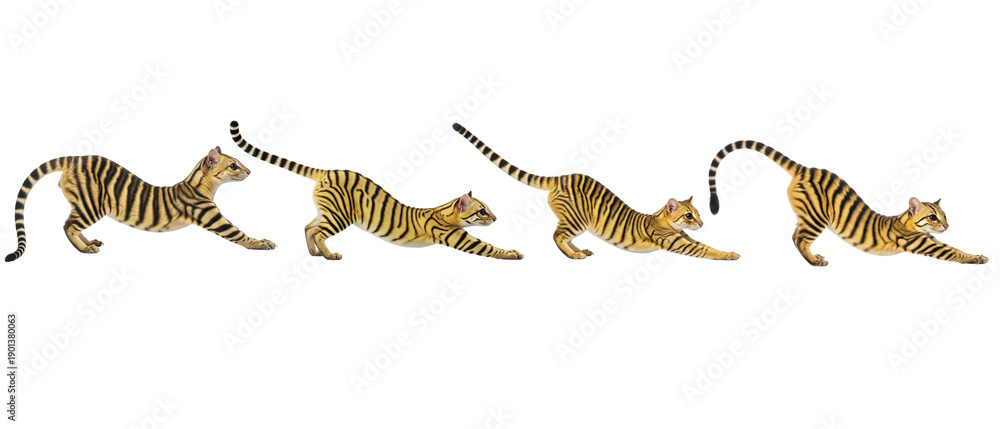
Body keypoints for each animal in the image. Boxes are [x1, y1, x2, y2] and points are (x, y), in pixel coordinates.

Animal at [5, 147, 275, 262]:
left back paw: (89, 242)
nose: (250, 171)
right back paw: (84, 249)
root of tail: (74, 158)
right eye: (233, 166)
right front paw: (262, 243)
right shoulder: (212, 217)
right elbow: (239, 234)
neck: (202, 185)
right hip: (93, 205)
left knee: (72, 223)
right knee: (67, 225)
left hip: (83, 203)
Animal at [229, 121, 522, 260]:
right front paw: (513, 253)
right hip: (340, 216)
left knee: (308, 227)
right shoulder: (460, 239)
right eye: (482, 211)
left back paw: (314, 253)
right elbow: (490, 247)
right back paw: (328, 255)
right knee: (318, 231)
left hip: (328, 211)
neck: (445, 211)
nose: (495, 218)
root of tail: (327, 171)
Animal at [451, 123, 740, 261]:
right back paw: (573, 254)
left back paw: (579, 249)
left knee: (562, 236)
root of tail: (562, 177)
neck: (665, 220)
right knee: (557, 236)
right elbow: (708, 251)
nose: (701, 223)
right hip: (577, 219)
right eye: (689, 215)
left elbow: (706, 245)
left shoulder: (686, 239)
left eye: (698, 214)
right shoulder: (679, 243)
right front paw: (730, 254)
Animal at [707, 140, 988, 266]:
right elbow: (954, 252)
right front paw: (976, 258)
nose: (947, 226)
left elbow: (954, 247)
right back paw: (814, 261)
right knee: (800, 239)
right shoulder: (923, 243)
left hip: (807, 215)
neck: (908, 222)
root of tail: (805, 168)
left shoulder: (929, 239)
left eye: (945, 215)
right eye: (932, 216)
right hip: (817, 217)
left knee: (794, 235)